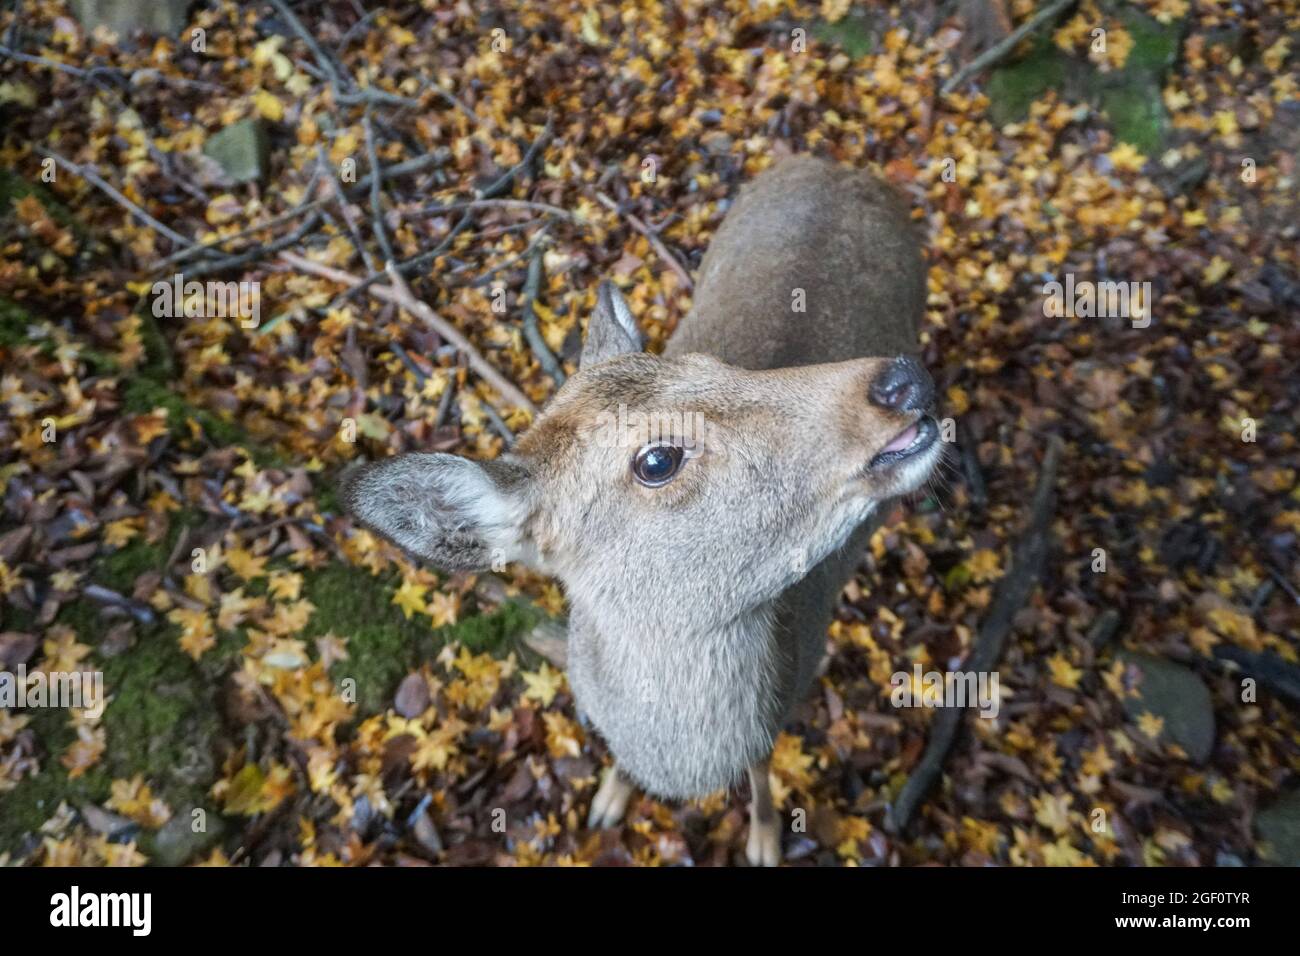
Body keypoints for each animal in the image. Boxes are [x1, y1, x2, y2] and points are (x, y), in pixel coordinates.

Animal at [341, 155, 941, 866]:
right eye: (657, 460)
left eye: (718, 363)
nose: (901, 381)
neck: (687, 763)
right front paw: (608, 800)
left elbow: (765, 776)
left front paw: (764, 841)